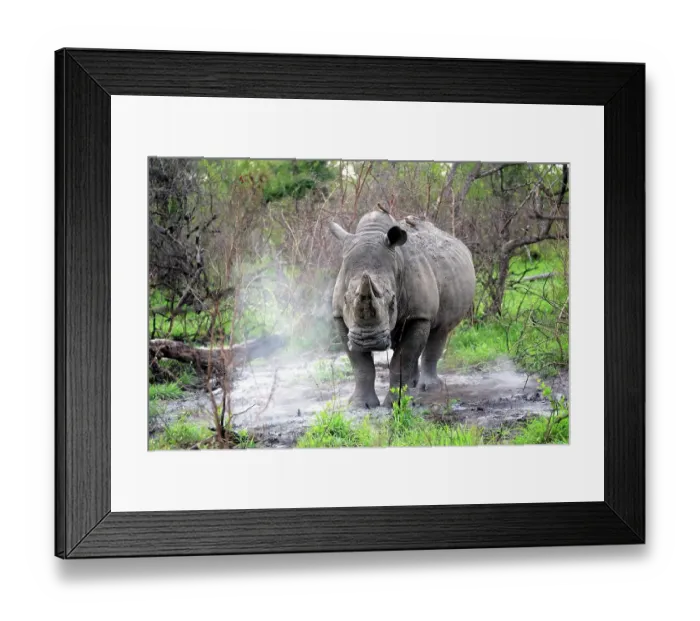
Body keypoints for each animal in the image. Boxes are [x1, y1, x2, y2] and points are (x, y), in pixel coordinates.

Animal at [330, 209, 476, 408]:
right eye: (345, 299)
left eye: (392, 302)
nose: (368, 340)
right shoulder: (340, 317)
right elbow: (360, 365)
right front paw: (360, 405)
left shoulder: (419, 315)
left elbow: (402, 359)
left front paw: (397, 404)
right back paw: (413, 385)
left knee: (439, 332)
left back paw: (427, 388)